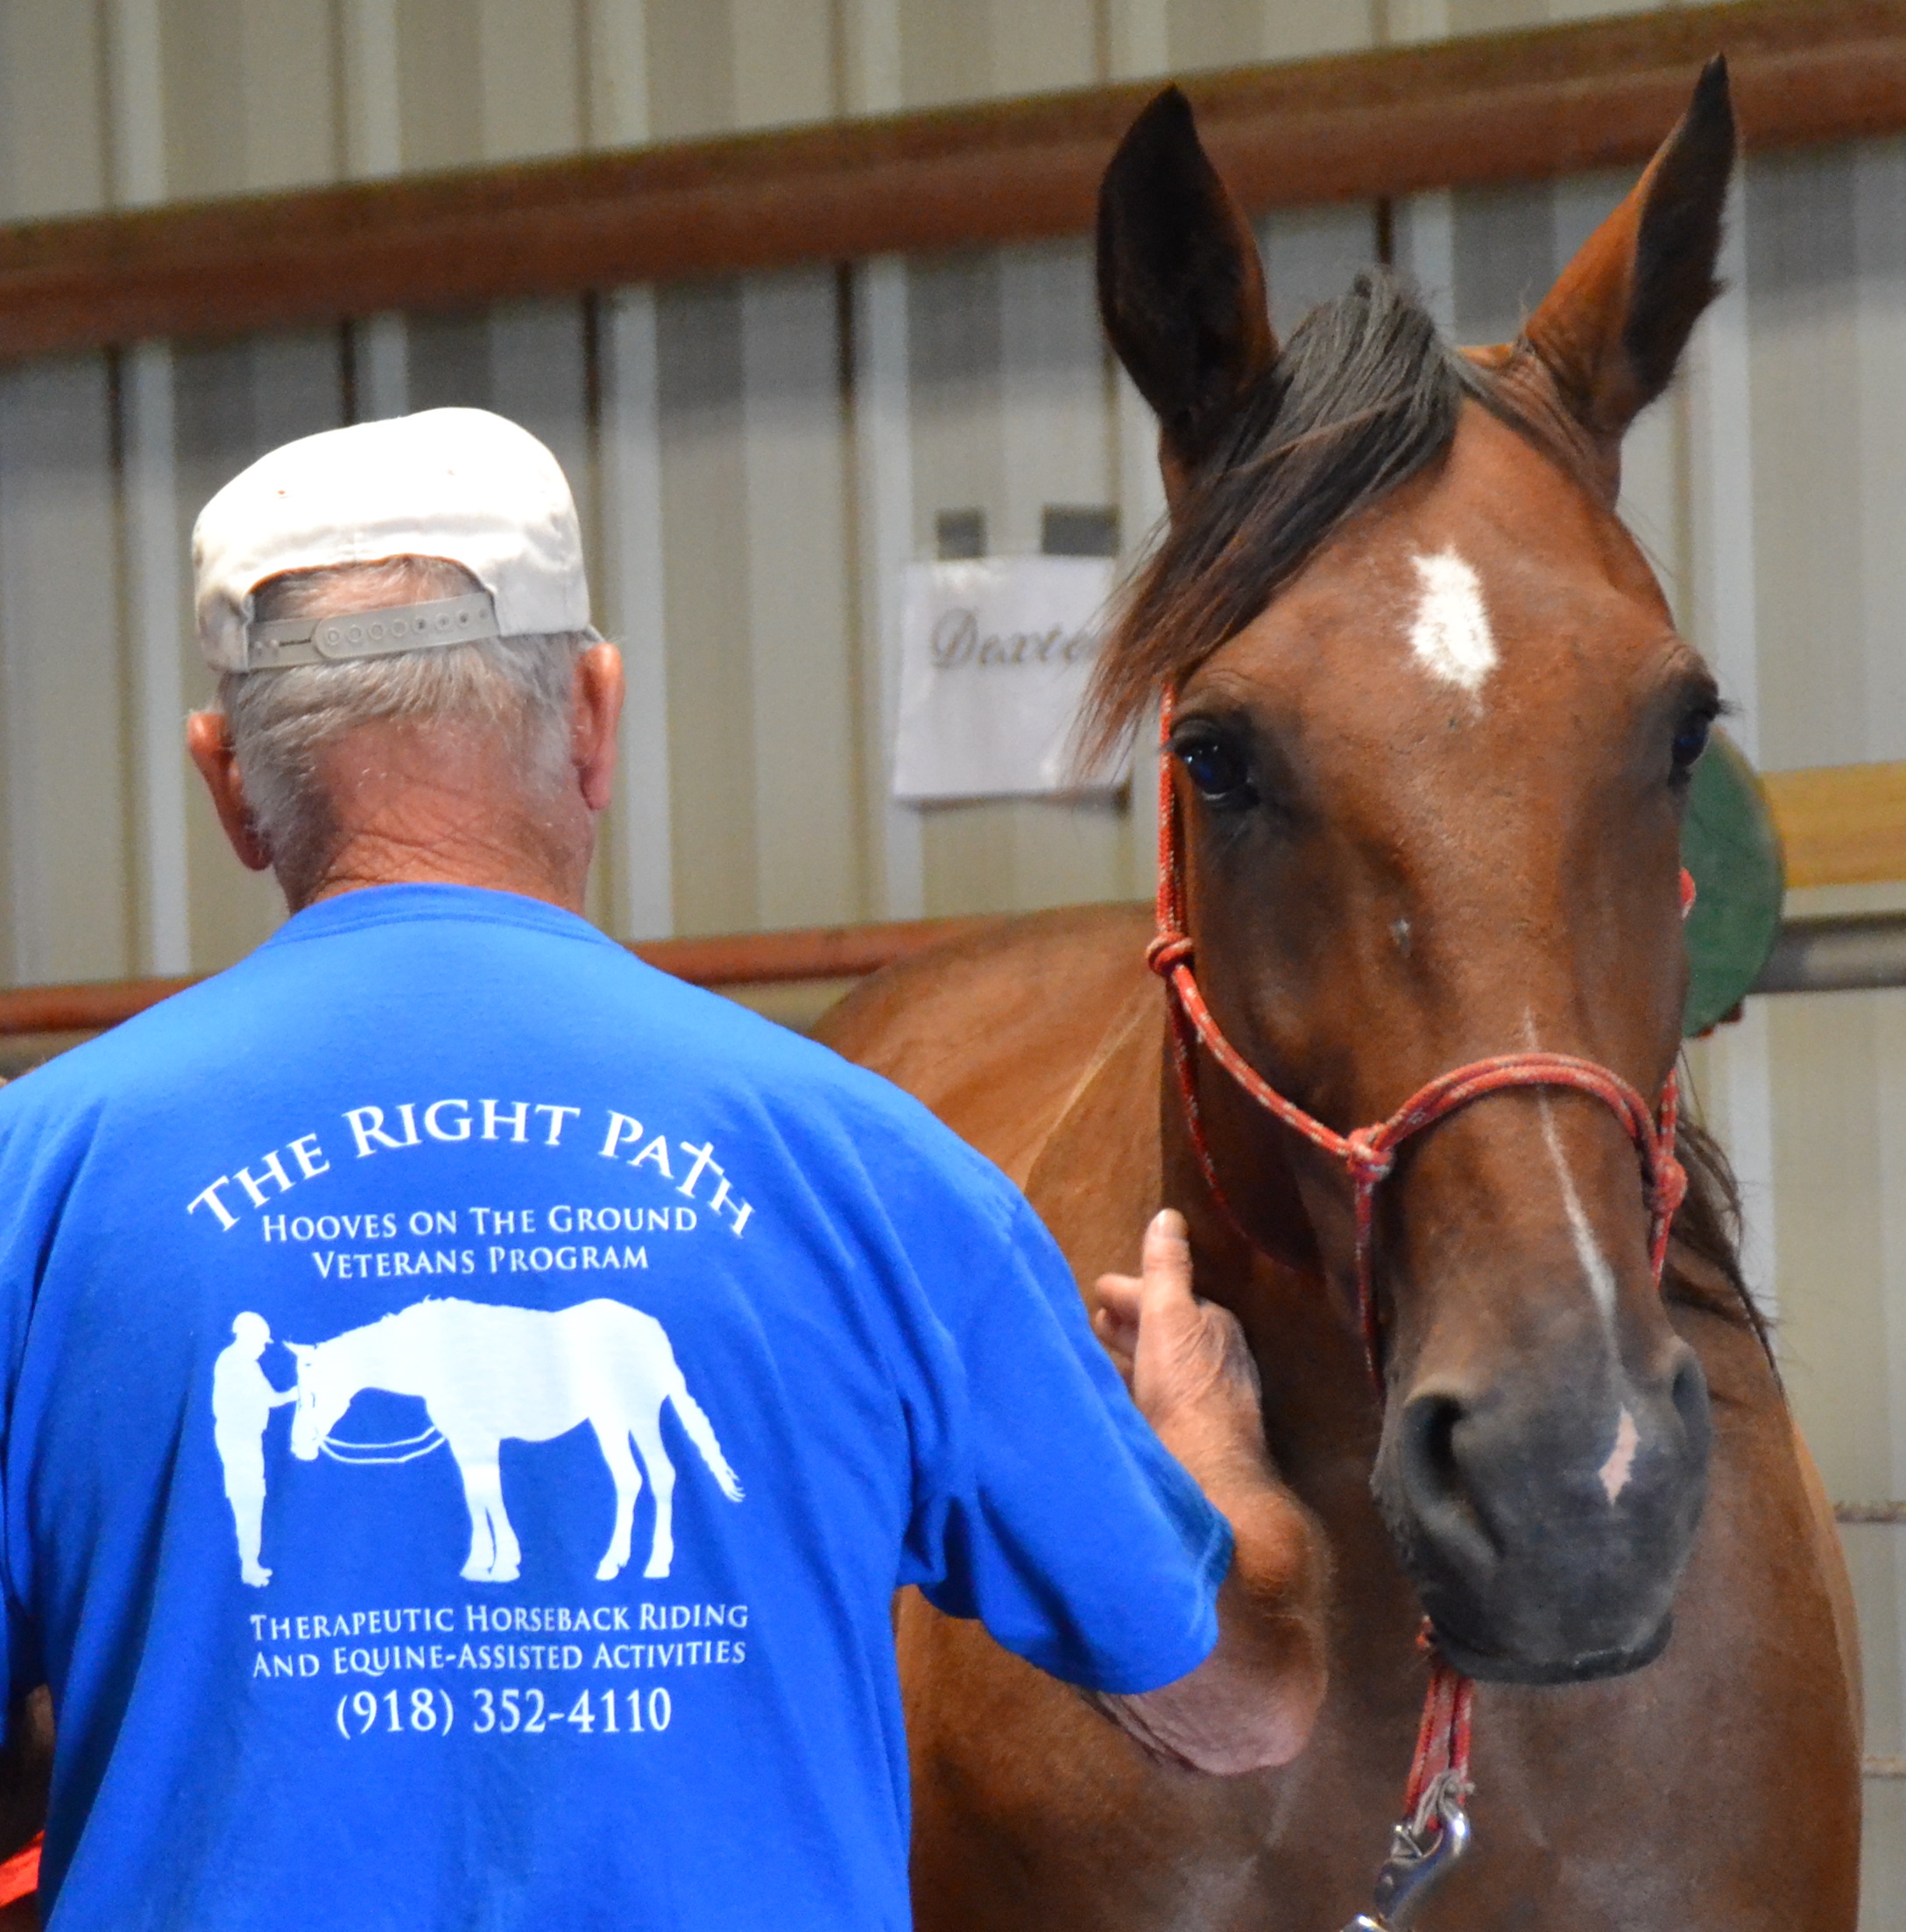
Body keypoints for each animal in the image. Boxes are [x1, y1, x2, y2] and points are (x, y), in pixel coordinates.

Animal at [284, 1296, 743, 1583]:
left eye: (313, 1393)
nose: (299, 1448)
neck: (440, 1357)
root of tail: (652, 1331)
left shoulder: (482, 1440)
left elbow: (491, 1493)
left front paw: (504, 1563)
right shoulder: (464, 1442)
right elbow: (476, 1496)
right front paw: (479, 1563)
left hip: (640, 1413)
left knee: (662, 1475)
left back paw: (657, 1563)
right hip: (608, 1419)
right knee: (629, 1480)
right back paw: (613, 1563)